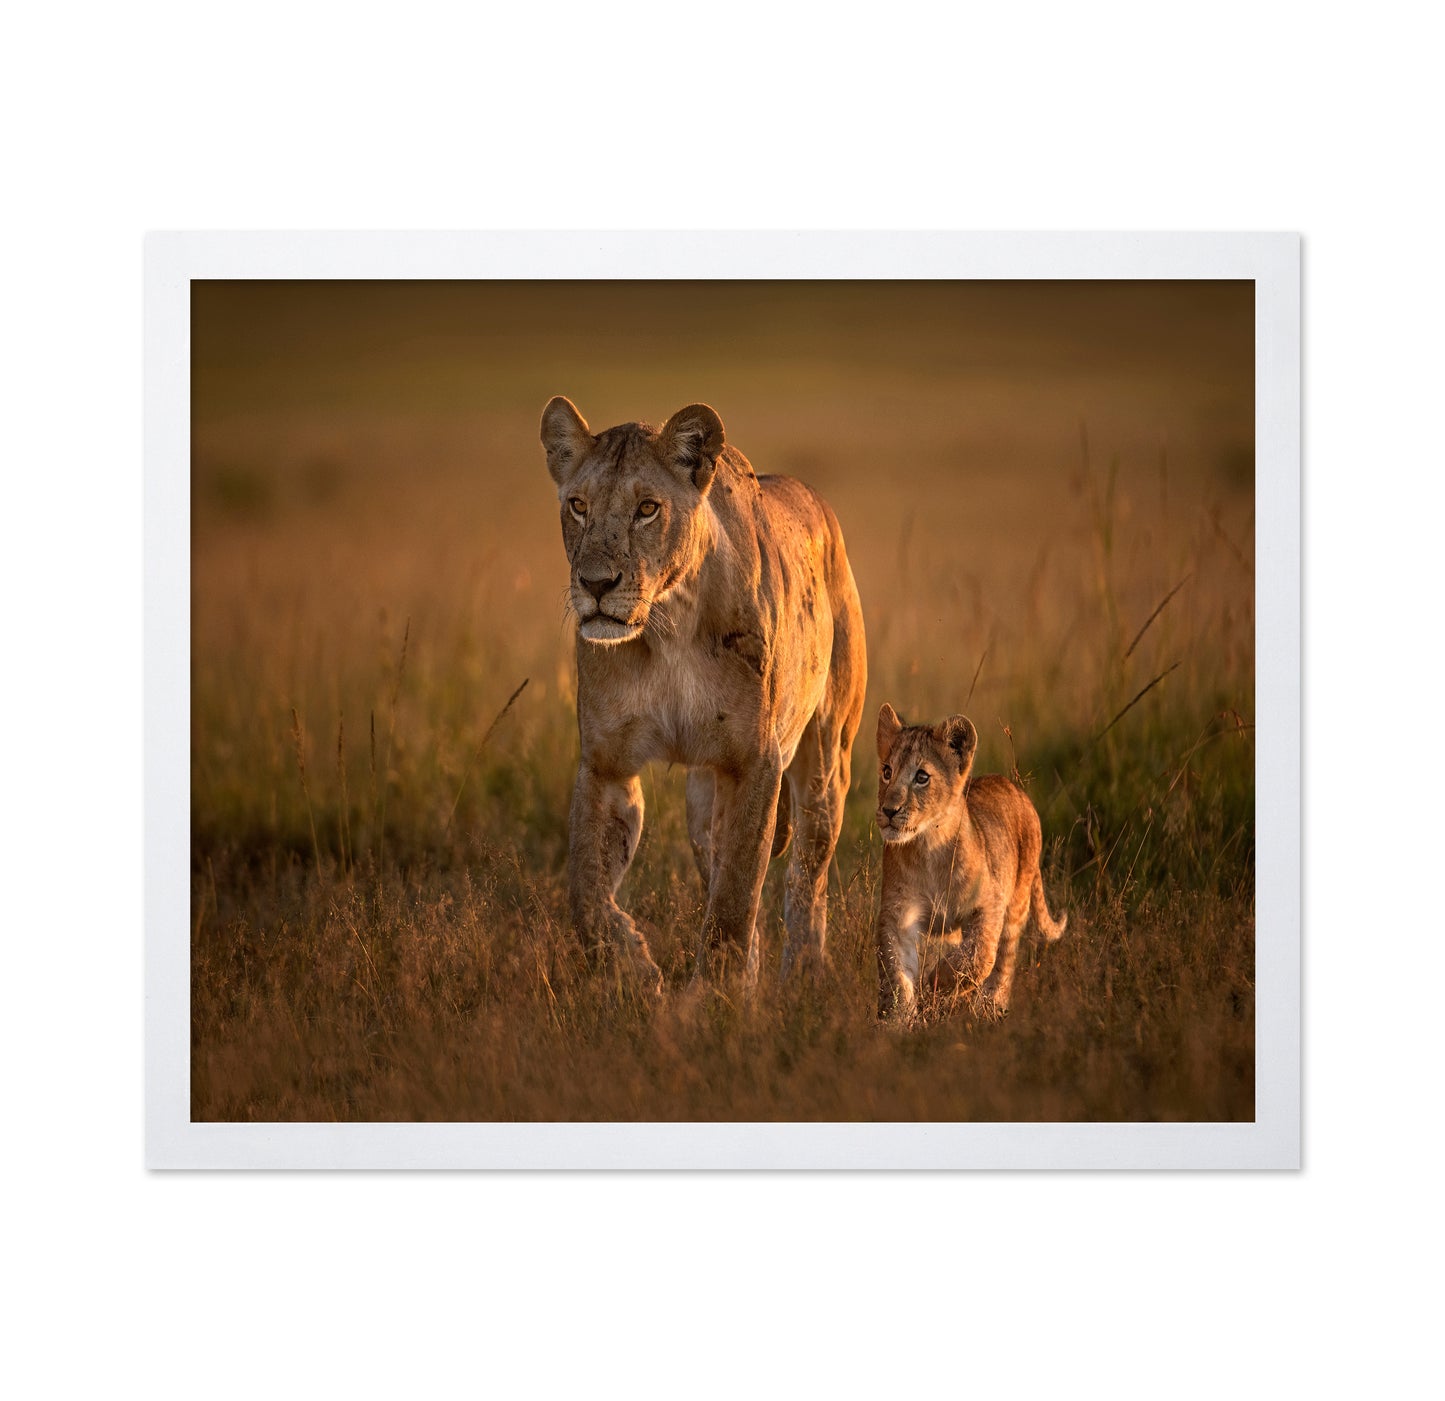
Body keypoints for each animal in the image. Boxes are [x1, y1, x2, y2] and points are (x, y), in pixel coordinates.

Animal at [540, 396, 867, 988]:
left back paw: (804, 974)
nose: (595, 584)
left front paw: (716, 996)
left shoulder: (754, 762)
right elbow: (587, 894)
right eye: (577, 506)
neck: (667, 625)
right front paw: (635, 969)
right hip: (702, 802)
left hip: (827, 759)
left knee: (808, 876)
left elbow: (735, 898)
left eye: (647, 509)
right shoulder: (605, 764)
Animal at [872, 703, 1066, 1020]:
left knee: (1004, 961)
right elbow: (896, 974)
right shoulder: (898, 914)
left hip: (1017, 901)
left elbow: (980, 954)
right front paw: (897, 1020)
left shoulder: (990, 902)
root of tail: (1014, 787)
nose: (889, 810)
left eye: (922, 777)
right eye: (887, 771)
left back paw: (990, 1007)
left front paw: (936, 983)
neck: (929, 846)